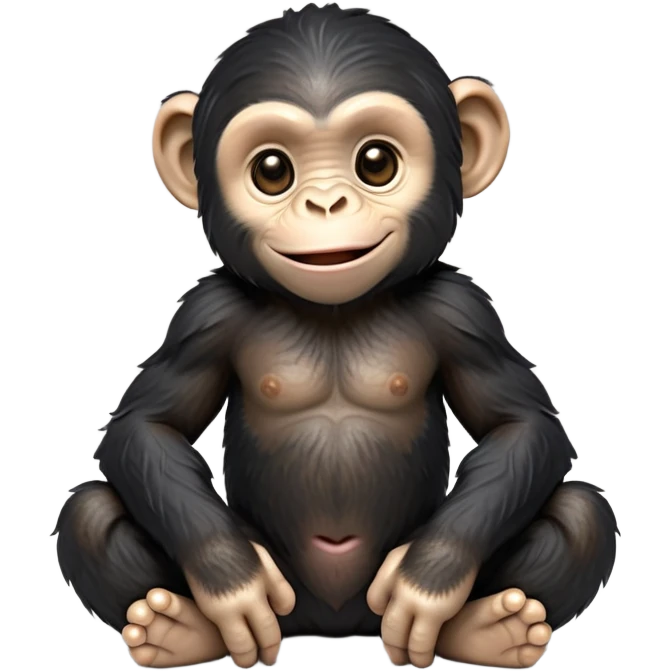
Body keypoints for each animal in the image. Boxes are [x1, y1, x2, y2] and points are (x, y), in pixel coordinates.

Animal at [52, 4, 619, 669]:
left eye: (376, 163)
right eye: (272, 171)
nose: (326, 203)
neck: (335, 311)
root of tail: (334, 626)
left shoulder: (462, 310)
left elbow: (521, 426)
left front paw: (427, 582)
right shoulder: (206, 314)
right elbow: (148, 427)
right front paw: (231, 585)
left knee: (581, 513)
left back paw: (489, 629)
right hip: (287, 597)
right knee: (90, 511)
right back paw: (178, 629)